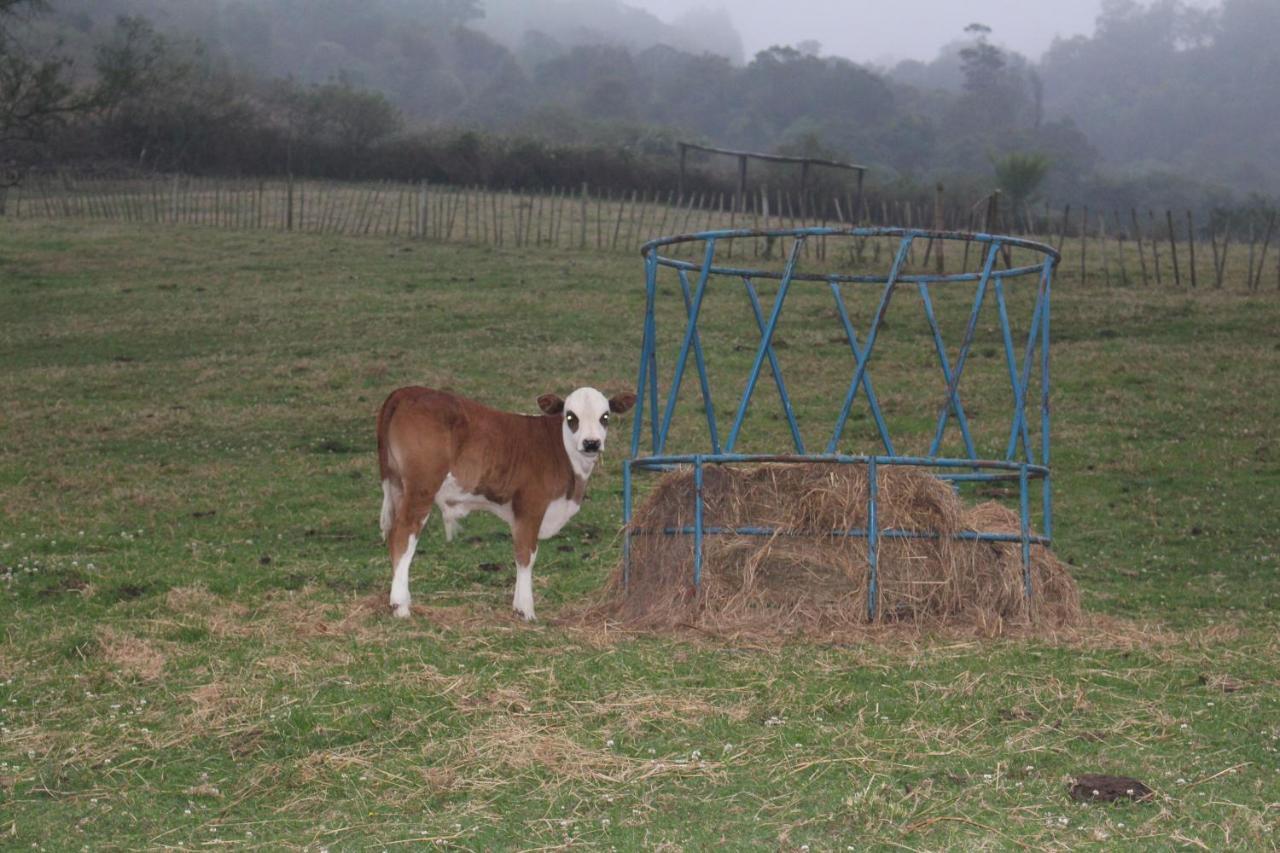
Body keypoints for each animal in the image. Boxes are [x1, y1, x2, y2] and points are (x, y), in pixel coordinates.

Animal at [373, 384, 634, 617]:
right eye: (571, 417)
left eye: (605, 417)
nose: (591, 443)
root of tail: (406, 391)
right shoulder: (531, 506)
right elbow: (526, 555)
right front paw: (526, 610)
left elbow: (519, 554)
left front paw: (518, 606)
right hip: (421, 487)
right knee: (403, 534)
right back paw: (401, 606)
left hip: (397, 485)